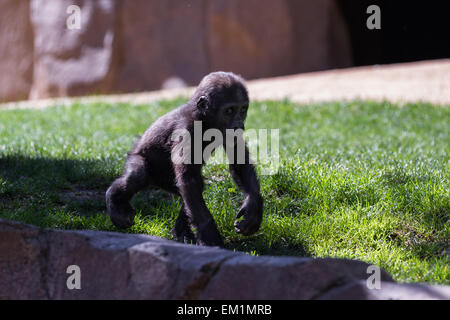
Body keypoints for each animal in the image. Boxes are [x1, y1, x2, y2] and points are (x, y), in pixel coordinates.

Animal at [105, 72, 262, 248]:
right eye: (229, 110)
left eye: (242, 110)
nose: (238, 124)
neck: (204, 119)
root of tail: (156, 183)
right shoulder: (186, 129)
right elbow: (189, 180)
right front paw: (211, 237)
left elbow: (239, 161)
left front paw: (253, 207)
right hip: (138, 158)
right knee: (138, 175)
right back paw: (114, 201)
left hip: (167, 182)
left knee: (192, 189)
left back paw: (182, 233)